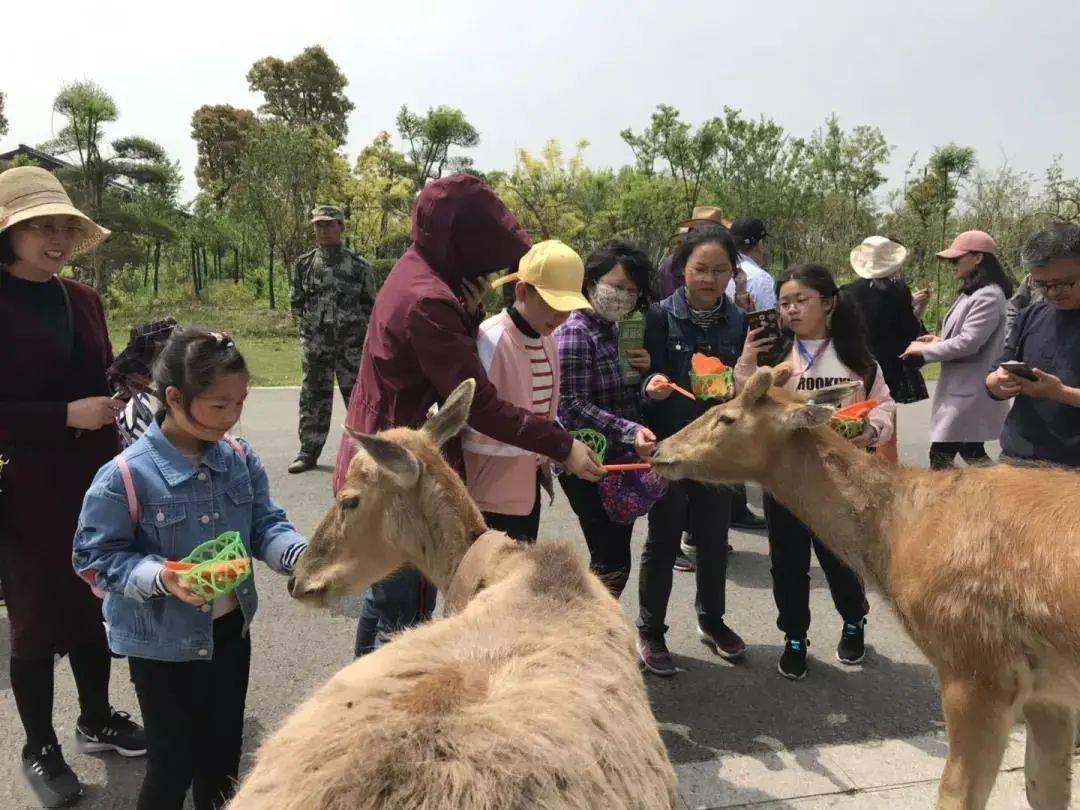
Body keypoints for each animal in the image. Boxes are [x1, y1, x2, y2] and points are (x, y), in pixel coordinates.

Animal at [643, 369, 1080, 810]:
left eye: (726, 417)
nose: (659, 448)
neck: (900, 539)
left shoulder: (979, 668)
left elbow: (956, 796)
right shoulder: (1049, 693)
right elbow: (1043, 788)